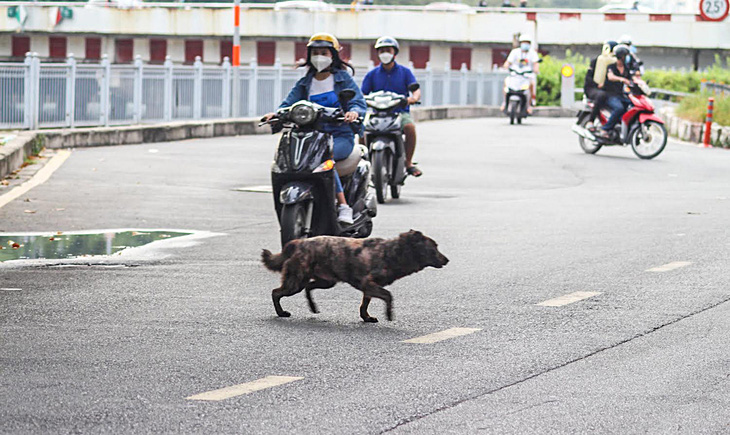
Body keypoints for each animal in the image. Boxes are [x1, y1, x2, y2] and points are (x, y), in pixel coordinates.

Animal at [258, 230, 446, 322]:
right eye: (434, 248)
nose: (447, 260)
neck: (392, 252)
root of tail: (298, 243)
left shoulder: (368, 289)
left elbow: (364, 305)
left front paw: (366, 318)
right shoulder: (369, 284)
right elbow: (389, 296)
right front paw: (389, 314)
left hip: (326, 281)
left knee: (308, 288)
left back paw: (312, 307)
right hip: (295, 282)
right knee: (276, 292)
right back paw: (281, 313)